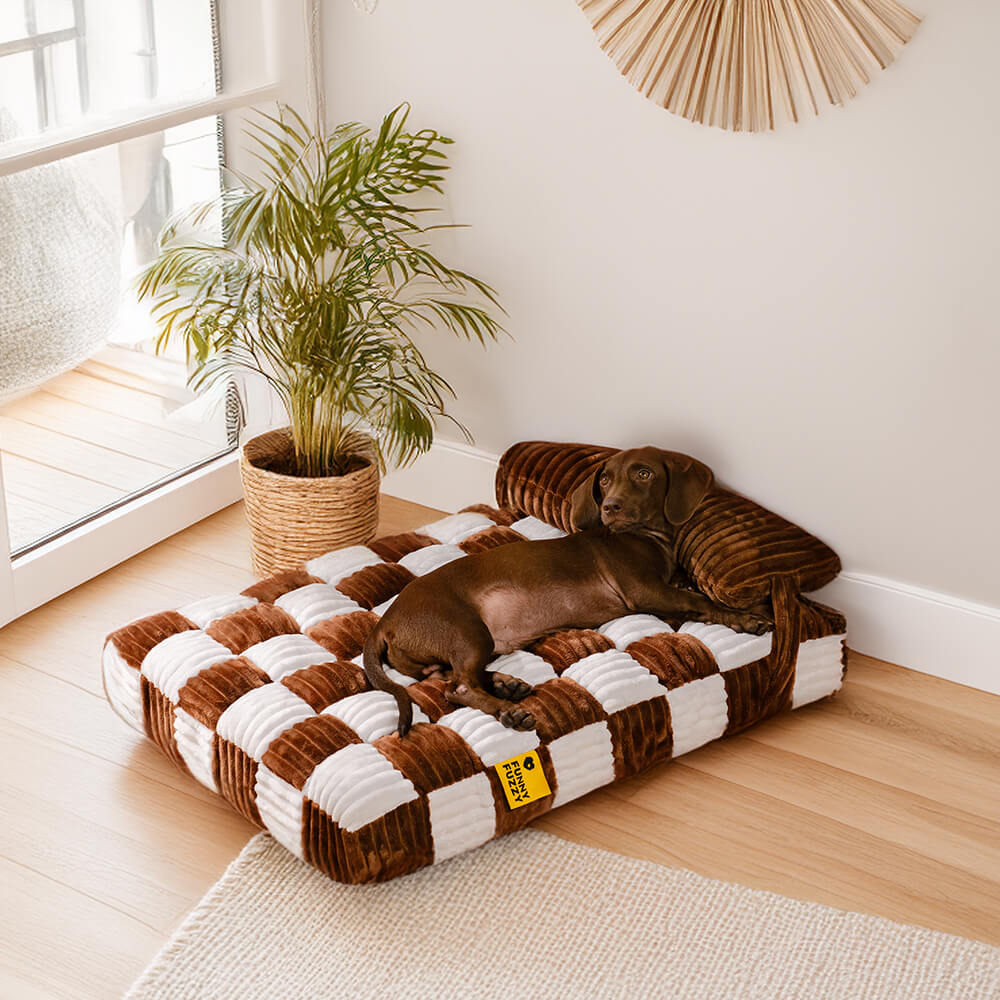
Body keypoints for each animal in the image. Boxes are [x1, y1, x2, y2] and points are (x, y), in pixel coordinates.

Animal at [364, 446, 768, 736]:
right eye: (604, 479)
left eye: (644, 473)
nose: (611, 507)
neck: (647, 537)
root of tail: (385, 622)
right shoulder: (644, 590)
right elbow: (698, 599)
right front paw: (746, 618)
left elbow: (690, 589)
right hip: (468, 631)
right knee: (458, 688)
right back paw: (509, 710)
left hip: (455, 652)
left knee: (446, 677)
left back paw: (506, 684)